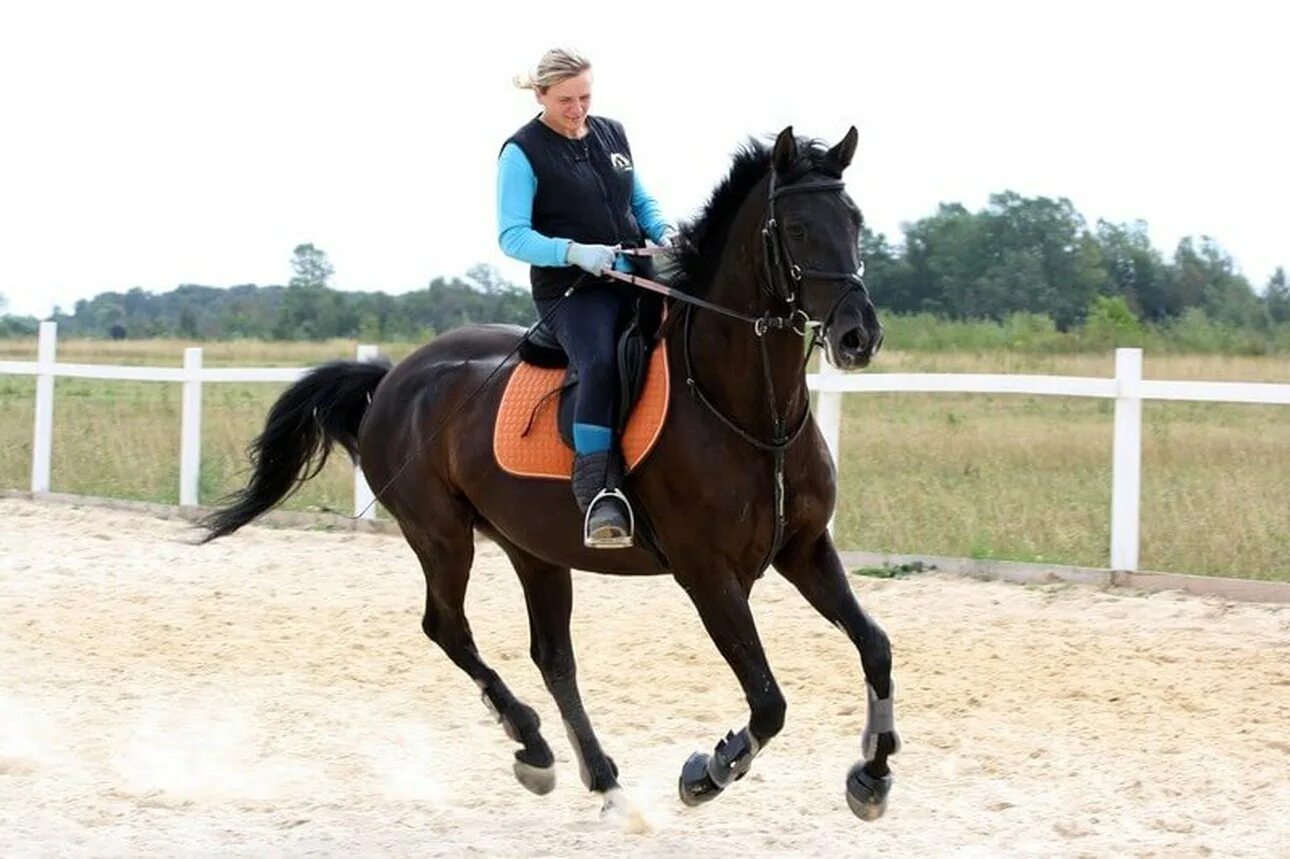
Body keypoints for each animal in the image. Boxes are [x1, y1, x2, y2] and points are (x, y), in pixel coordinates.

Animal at [201, 125, 903, 815]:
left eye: (855, 220)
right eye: (797, 229)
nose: (858, 336)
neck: (754, 414)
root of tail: (393, 378)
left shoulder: (804, 549)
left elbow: (875, 646)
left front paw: (872, 774)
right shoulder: (707, 574)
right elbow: (768, 701)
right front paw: (707, 772)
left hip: (532, 548)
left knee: (552, 656)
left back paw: (601, 778)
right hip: (441, 536)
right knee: (447, 628)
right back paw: (533, 746)